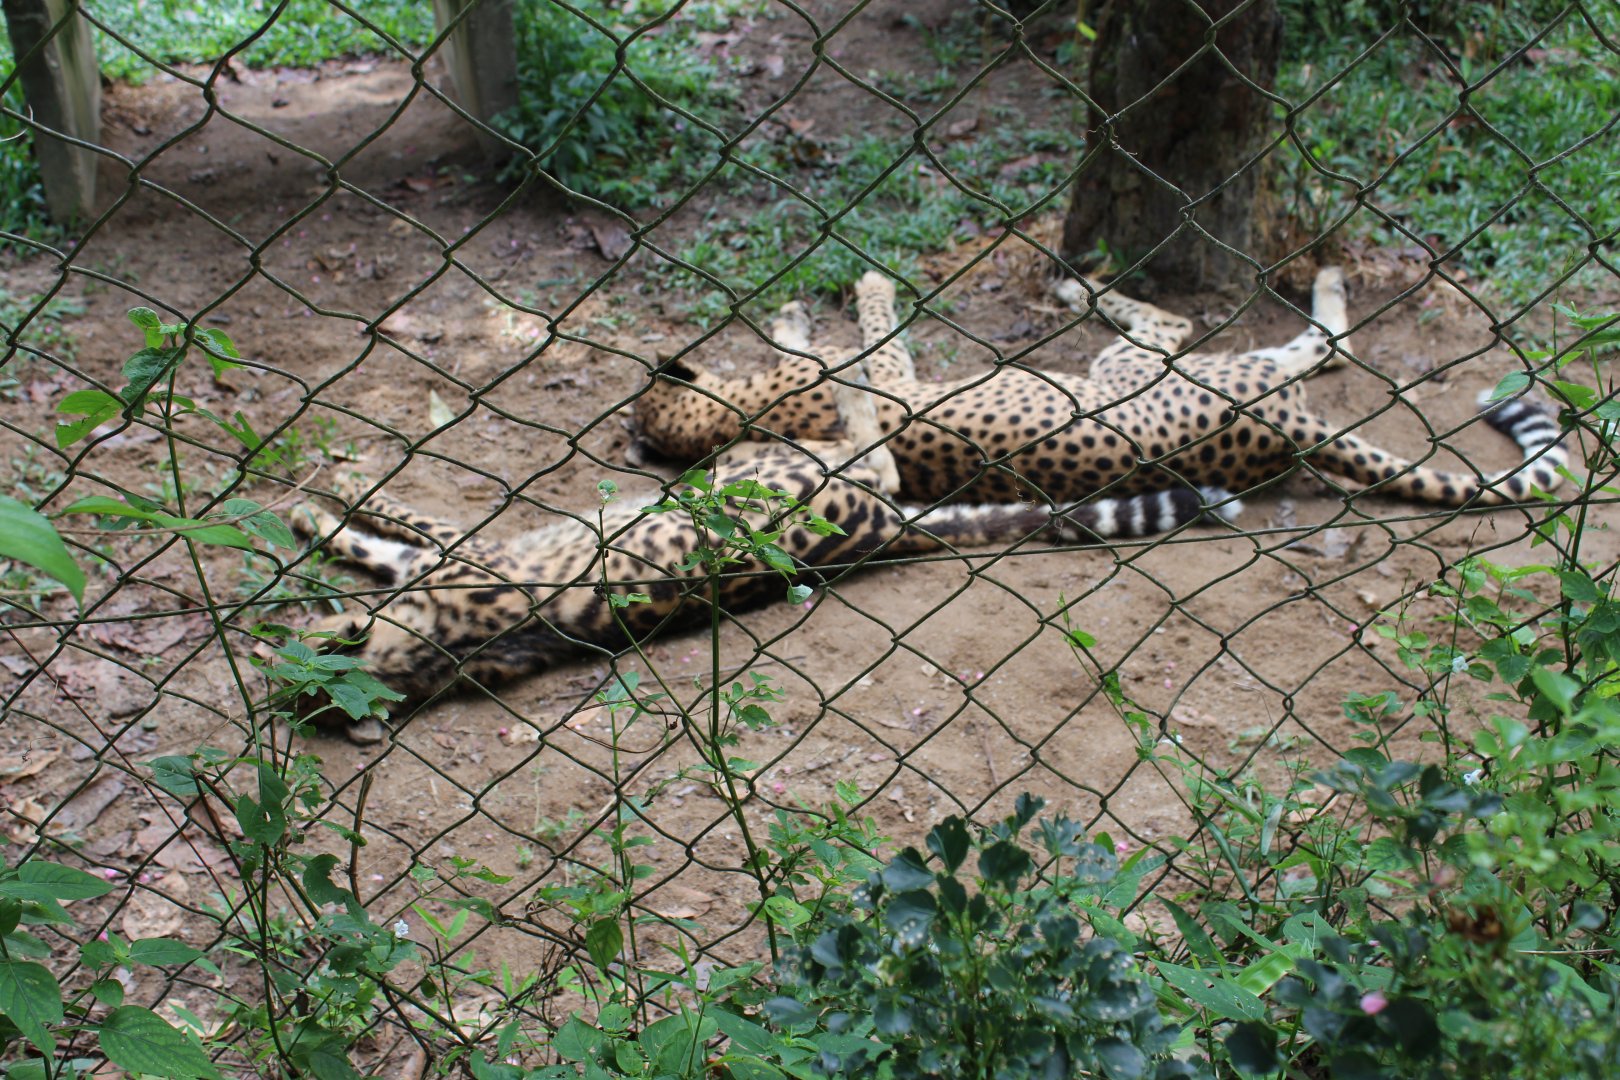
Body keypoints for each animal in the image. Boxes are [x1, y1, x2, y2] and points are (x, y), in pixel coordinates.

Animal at [289, 438, 1239, 744]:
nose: (277, 667)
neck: (433, 653)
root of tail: (884, 531)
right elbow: (377, 540)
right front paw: (315, 517)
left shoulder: (458, 552)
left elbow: (385, 519)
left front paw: (320, 499)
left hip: (765, 465)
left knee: (876, 442)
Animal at [631, 266, 1568, 510]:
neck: (728, 418)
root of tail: (1288, 435)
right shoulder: (885, 382)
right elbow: (875, 335)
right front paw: (865, 285)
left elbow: (819, 339)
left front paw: (793, 309)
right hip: (1136, 368)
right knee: (1213, 330)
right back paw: (1079, 286)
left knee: (1317, 352)